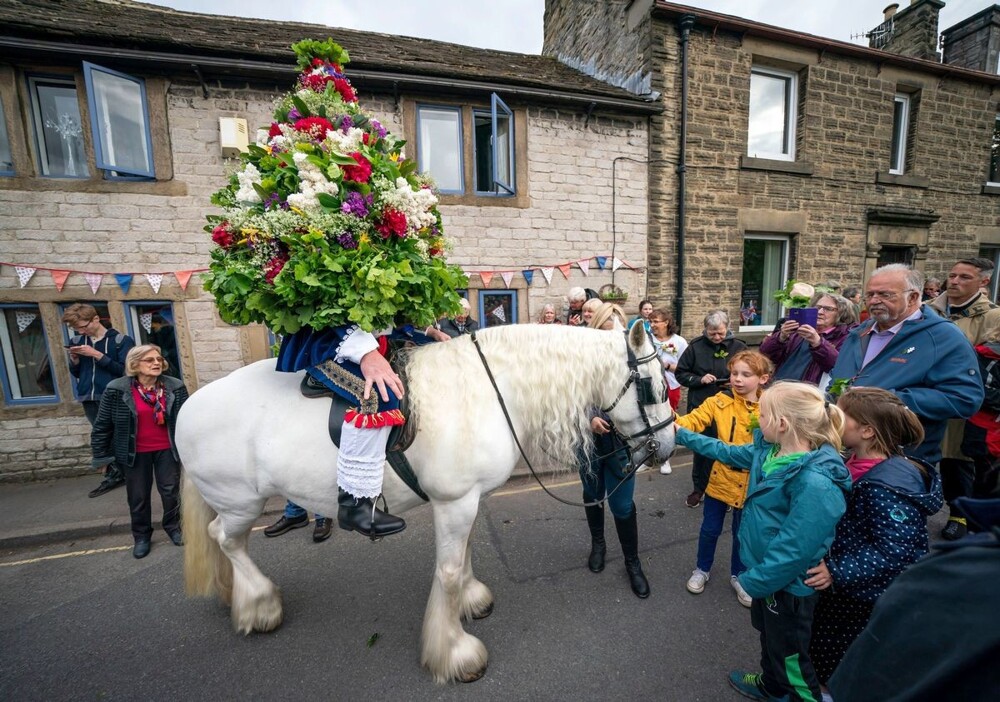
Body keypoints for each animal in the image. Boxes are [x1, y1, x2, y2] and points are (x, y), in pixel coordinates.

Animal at [179, 322, 676, 684]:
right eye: (651, 386)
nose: (669, 445)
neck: (489, 389)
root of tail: (189, 405)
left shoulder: (468, 500)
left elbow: (467, 553)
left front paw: (471, 601)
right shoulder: (454, 502)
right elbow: (449, 573)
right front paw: (454, 652)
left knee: (225, 542)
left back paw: (234, 594)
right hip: (240, 502)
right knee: (225, 539)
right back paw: (259, 604)